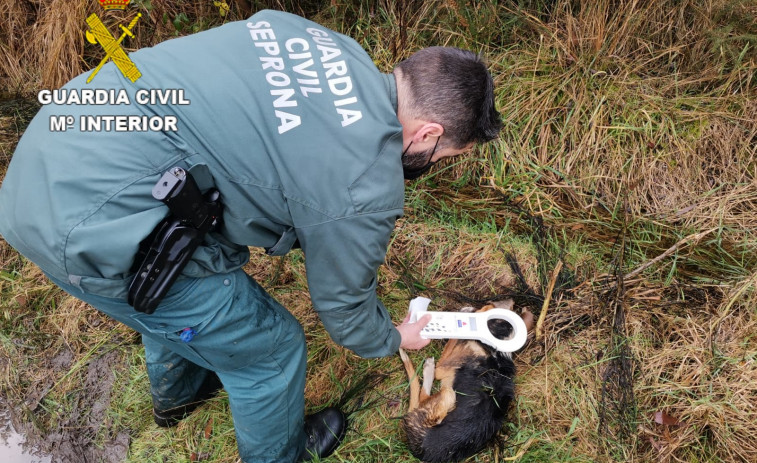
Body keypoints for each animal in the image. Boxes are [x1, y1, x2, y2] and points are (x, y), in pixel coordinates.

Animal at [398, 300, 528, 462]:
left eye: (484, 308)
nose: (465, 308)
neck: (499, 348)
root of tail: (419, 447)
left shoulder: (444, 367)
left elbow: (454, 340)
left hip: (448, 395)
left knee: (423, 395)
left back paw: (428, 367)